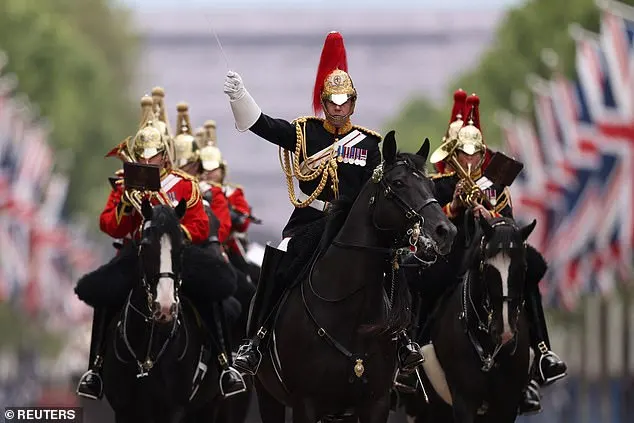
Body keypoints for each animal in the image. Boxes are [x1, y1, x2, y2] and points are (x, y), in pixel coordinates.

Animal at [252, 134, 454, 423]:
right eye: (398, 183)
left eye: (431, 185)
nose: (445, 232)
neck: (349, 311)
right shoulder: (306, 404)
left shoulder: (375, 404)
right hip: (267, 394)